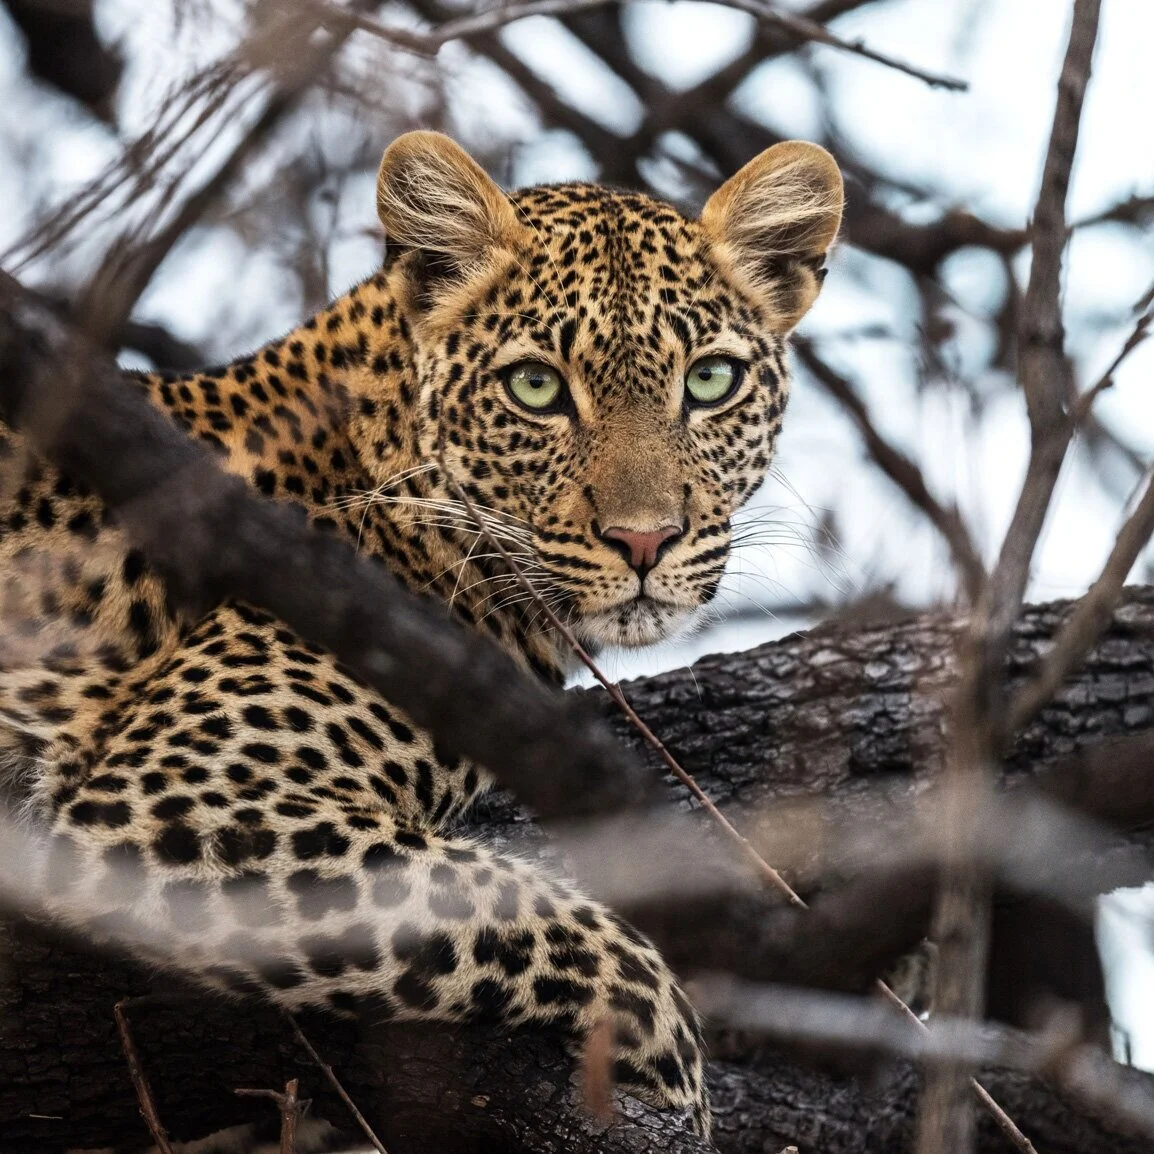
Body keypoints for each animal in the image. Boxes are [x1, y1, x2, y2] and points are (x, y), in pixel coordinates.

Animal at [0, 131, 843, 1140]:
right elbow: (518, 903)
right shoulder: (173, 800)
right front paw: (677, 1071)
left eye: (710, 381)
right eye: (535, 388)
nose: (645, 541)